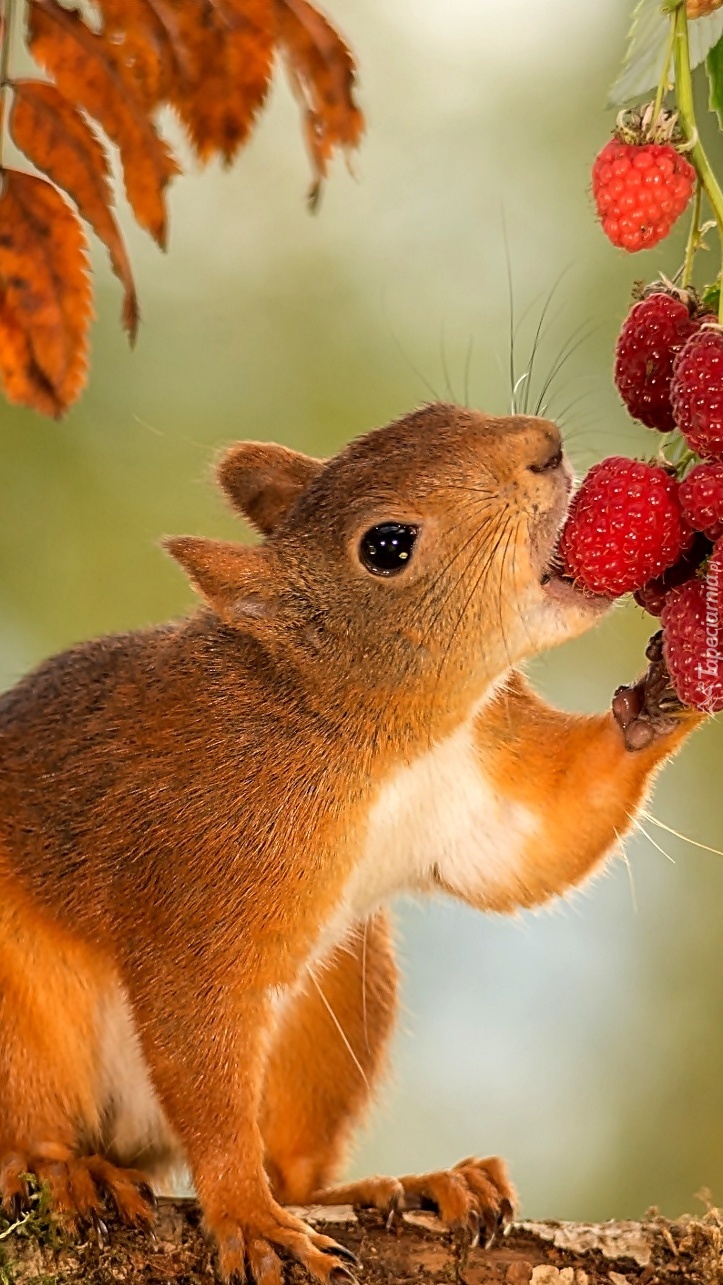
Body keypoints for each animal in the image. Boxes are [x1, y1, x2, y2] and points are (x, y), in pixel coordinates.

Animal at [0, 403, 703, 1285]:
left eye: (437, 414)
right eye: (387, 546)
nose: (542, 447)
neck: (385, 737)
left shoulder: (478, 778)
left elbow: (537, 843)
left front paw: (667, 689)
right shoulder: (195, 877)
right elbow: (201, 1047)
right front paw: (244, 1213)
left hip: (339, 998)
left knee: (297, 1170)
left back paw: (418, 1182)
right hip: (20, 1009)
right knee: (33, 1120)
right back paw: (64, 1168)